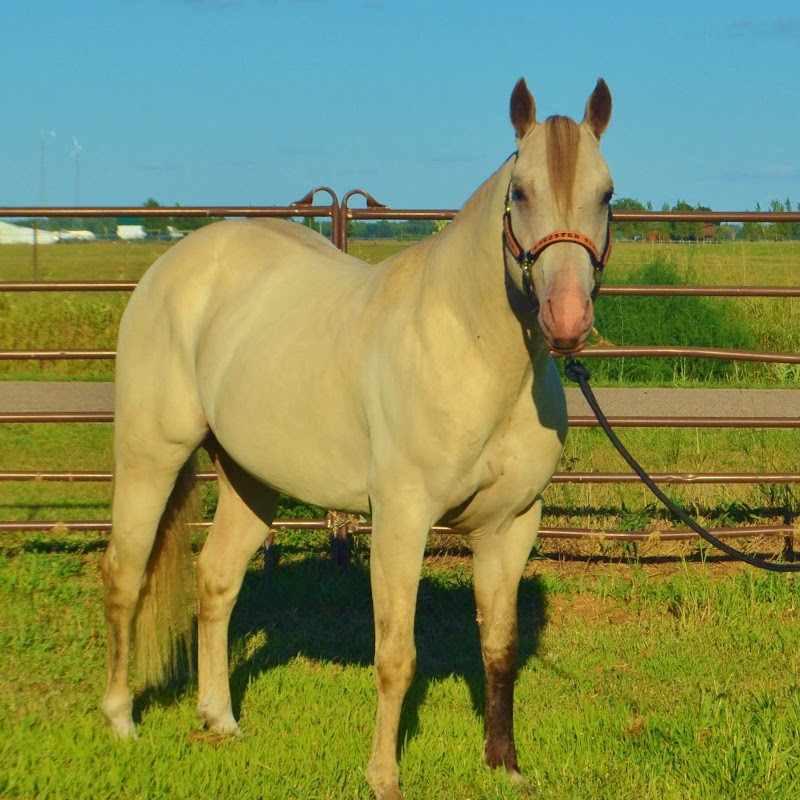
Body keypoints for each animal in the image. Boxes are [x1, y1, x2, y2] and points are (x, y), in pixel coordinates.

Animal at [101, 77, 613, 799]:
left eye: (607, 194)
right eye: (521, 192)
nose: (566, 319)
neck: (473, 349)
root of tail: (174, 265)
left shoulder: (511, 526)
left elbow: (500, 647)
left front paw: (504, 765)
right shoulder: (401, 520)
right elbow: (396, 656)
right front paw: (384, 777)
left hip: (251, 480)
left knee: (217, 580)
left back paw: (220, 718)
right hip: (150, 458)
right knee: (124, 576)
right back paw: (121, 720)